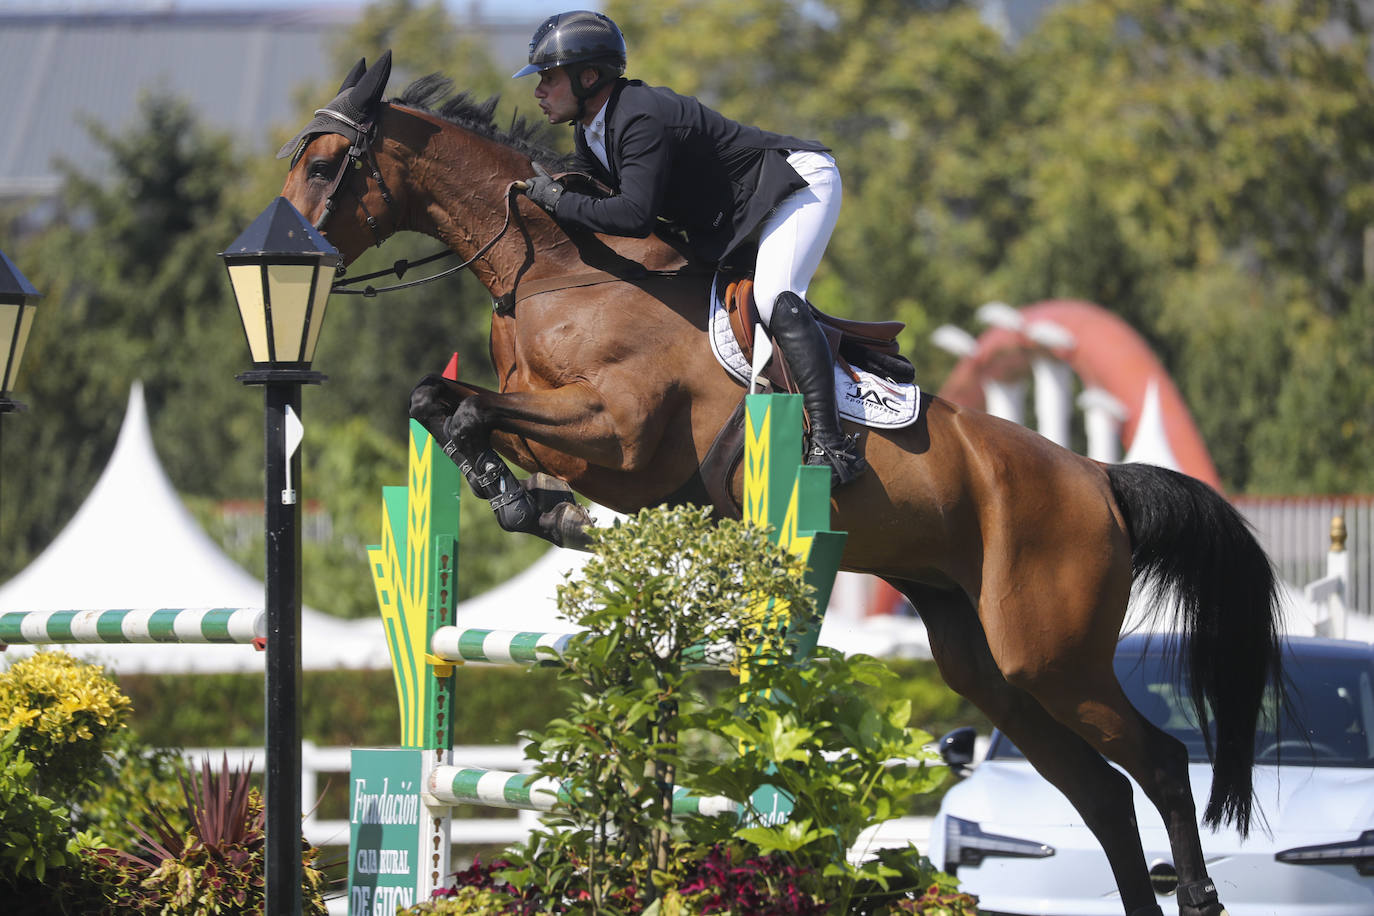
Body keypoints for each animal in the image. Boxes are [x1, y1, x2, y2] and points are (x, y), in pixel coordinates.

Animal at [278, 53, 1275, 911]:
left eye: (327, 165)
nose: (290, 257)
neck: (556, 273)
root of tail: (1099, 480)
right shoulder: (570, 430)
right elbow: (439, 401)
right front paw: (532, 503)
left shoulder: (619, 435)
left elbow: (471, 413)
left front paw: (542, 507)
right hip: (986, 665)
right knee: (1102, 793)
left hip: (1051, 653)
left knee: (1160, 763)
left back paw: (1201, 894)